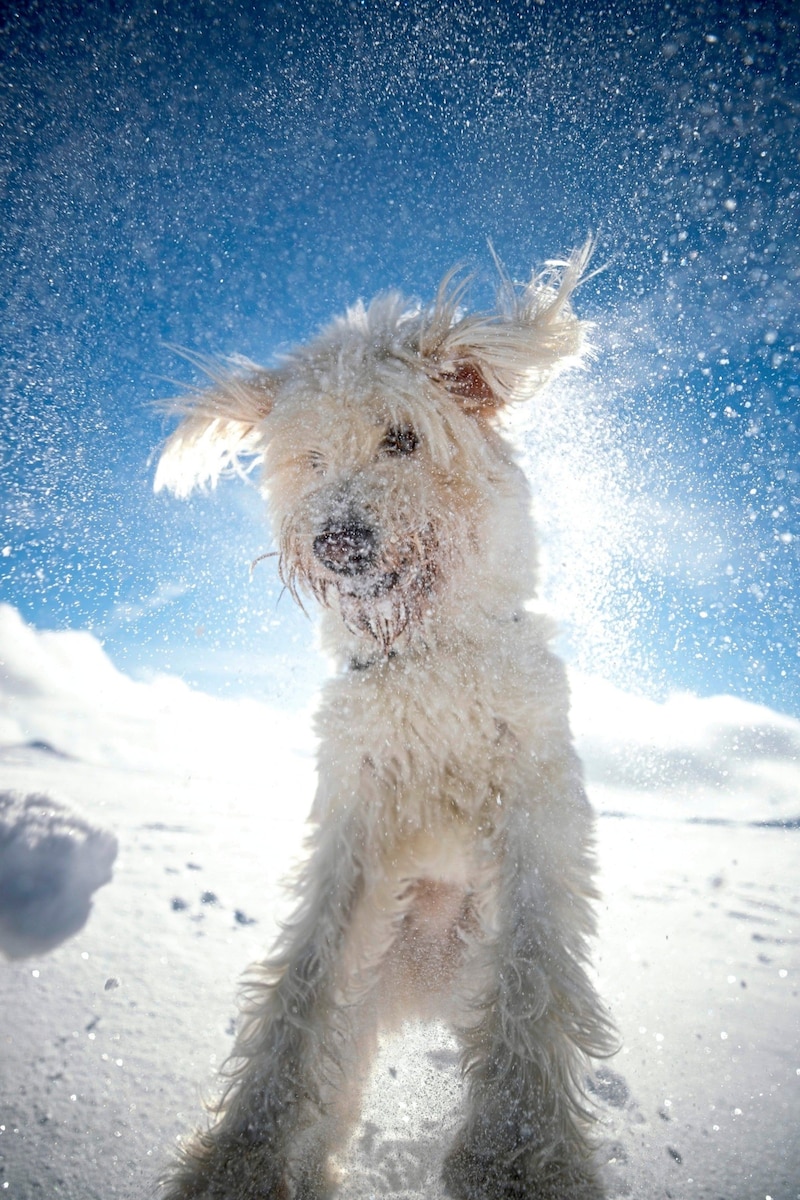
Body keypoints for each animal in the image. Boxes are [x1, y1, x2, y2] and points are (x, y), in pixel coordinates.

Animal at [153, 238, 618, 1195]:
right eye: (309, 456)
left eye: (402, 438)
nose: (338, 542)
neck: (427, 669)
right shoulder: (354, 827)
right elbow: (301, 984)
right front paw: (243, 1154)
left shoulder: (535, 811)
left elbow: (532, 979)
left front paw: (520, 1154)